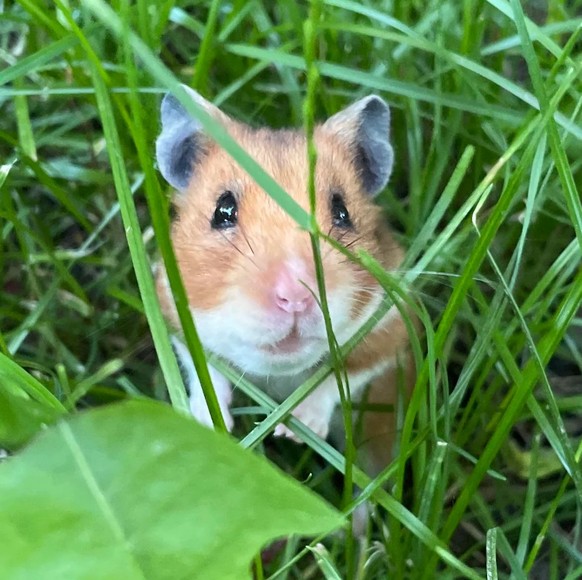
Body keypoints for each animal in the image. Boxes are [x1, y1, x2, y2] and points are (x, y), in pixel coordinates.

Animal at [153, 86, 412, 474]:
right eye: (223, 211)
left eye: (342, 212)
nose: (296, 298)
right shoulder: (172, 310)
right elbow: (205, 369)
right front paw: (210, 423)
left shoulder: (389, 328)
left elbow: (342, 375)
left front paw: (296, 431)